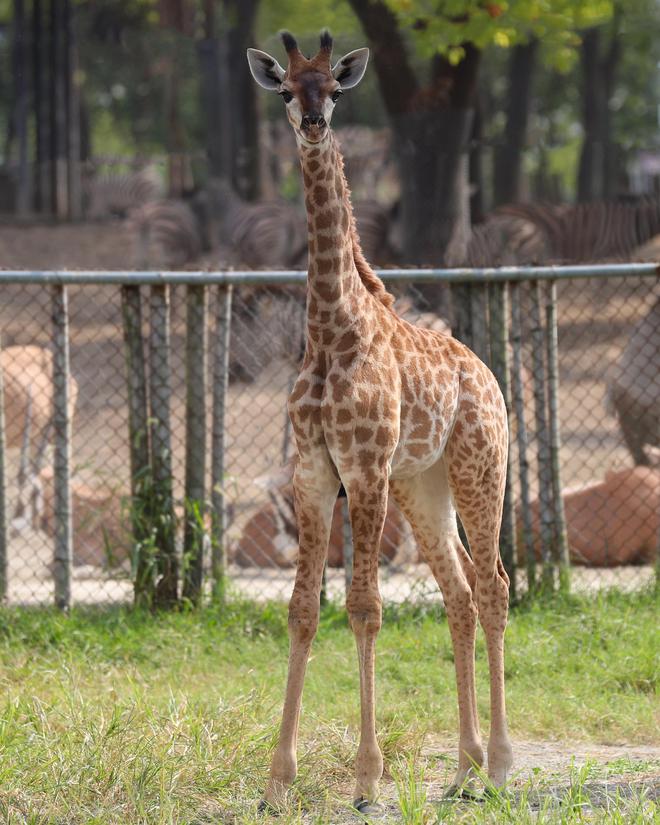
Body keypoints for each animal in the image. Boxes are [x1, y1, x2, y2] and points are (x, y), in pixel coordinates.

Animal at [250, 32, 512, 812]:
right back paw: (462, 770)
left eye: (335, 89)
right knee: (460, 592)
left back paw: (499, 766)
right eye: (286, 90)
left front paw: (368, 781)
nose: (312, 124)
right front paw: (277, 782)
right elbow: (303, 609)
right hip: (423, 485)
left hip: (480, 468)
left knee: (494, 585)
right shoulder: (313, 473)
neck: (331, 332)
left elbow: (365, 606)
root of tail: (487, 376)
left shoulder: (362, 471)